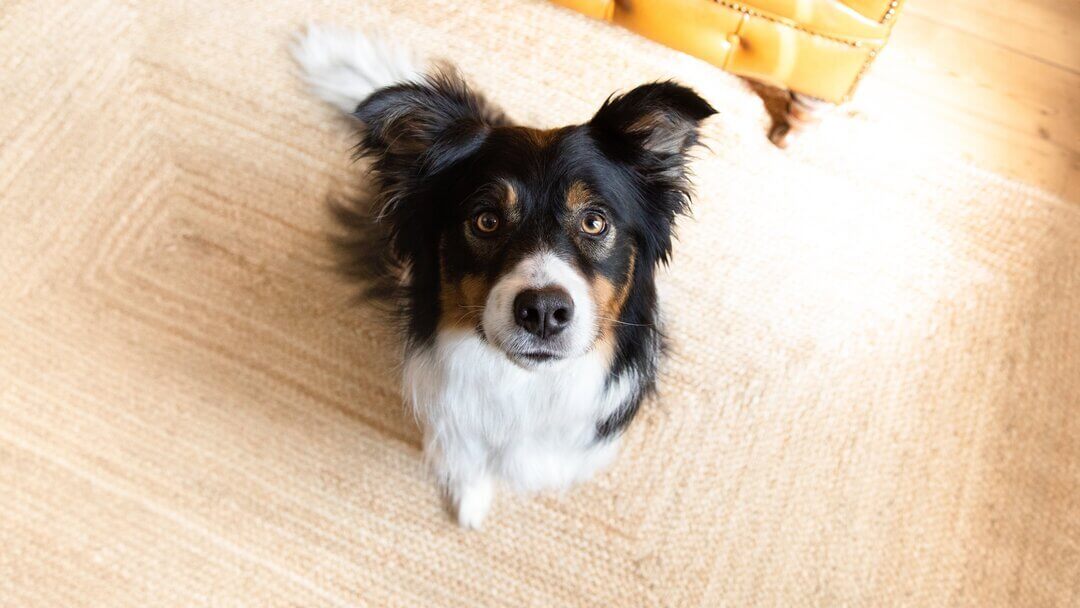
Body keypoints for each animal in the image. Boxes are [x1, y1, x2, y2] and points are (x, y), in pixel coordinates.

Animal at [295, 24, 717, 529]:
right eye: (486, 221)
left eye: (595, 222)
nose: (543, 311)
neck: (526, 386)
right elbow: (466, 458)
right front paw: (469, 500)